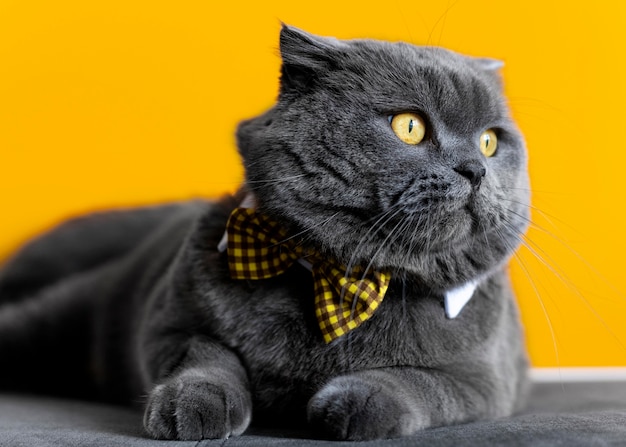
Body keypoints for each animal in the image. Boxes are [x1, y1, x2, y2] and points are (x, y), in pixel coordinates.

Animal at [0, 26, 528, 442]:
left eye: (490, 141)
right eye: (410, 127)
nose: (475, 169)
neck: (341, 282)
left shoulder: (487, 380)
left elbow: (423, 381)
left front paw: (356, 402)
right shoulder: (168, 326)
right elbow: (207, 354)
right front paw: (193, 405)